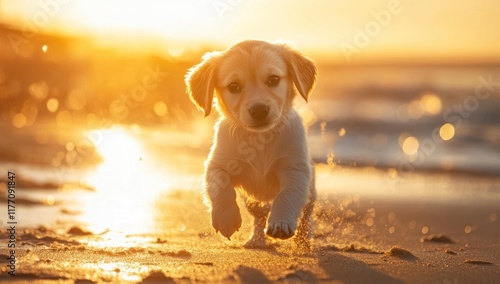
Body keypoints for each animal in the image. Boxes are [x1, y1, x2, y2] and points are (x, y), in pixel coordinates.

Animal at [184, 40, 316, 248]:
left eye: (273, 80)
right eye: (234, 86)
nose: (259, 110)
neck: (259, 138)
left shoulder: (296, 168)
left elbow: (287, 195)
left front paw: (281, 222)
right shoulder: (217, 164)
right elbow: (220, 186)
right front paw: (226, 218)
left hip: (311, 192)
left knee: (305, 217)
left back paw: (303, 242)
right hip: (252, 202)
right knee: (259, 217)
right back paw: (256, 240)